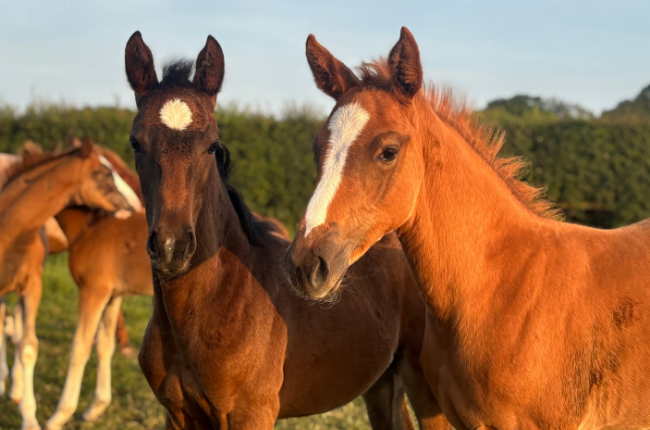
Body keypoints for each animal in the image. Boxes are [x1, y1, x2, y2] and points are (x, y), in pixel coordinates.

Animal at [125, 31, 449, 430]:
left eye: (212, 146)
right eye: (135, 143)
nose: (172, 246)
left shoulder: (252, 414)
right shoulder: (177, 415)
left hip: (423, 385)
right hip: (381, 382)